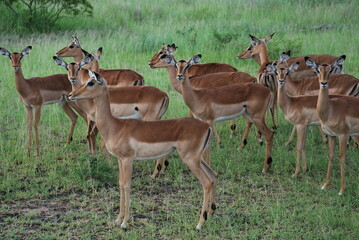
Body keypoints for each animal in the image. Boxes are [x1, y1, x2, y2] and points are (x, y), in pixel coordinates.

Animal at [69, 70, 218, 230]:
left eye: (91, 82)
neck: (115, 126)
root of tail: (206, 127)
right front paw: (117, 219)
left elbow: (127, 186)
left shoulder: (128, 160)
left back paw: (199, 224)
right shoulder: (120, 160)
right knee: (213, 175)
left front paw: (124, 223)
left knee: (206, 182)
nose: (72, 94)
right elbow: (120, 184)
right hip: (198, 159)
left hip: (190, 159)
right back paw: (210, 213)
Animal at [306, 56, 359, 195]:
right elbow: (330, 155)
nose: (323, 83)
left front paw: (342, 190)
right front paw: (325, 185)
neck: (330, 110)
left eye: (330, 70)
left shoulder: (343, 135)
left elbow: (341, 157)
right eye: (318, 70)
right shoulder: (331, 135)